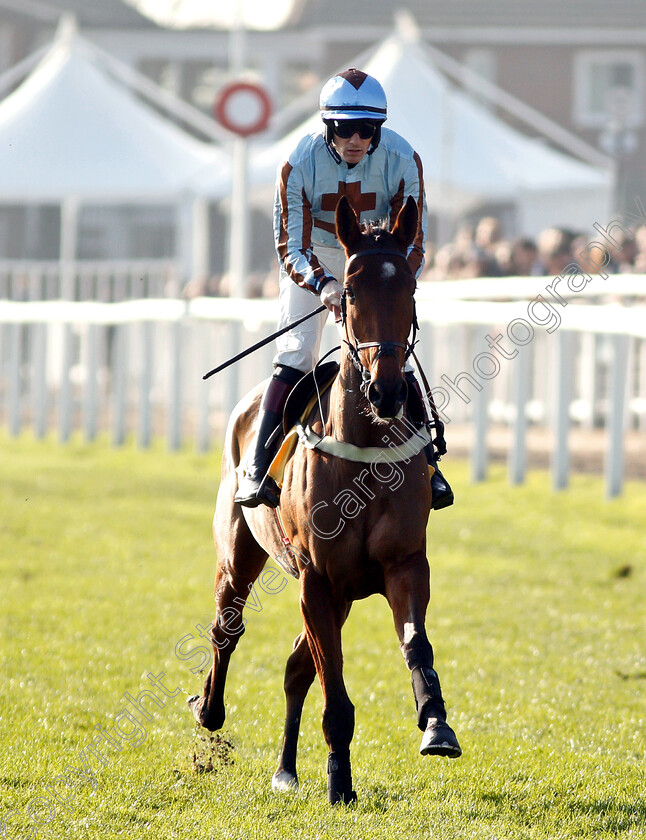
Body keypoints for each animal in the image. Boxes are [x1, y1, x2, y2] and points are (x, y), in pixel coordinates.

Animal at [190, 194, 464, 804]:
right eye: (353, 291)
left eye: (409, 288)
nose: (385, 390)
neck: (363, 447)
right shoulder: (316, 578)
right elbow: (333, 683)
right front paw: (341, 782)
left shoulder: (403, 564)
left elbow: (416, 643)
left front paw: (436, 723)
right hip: (239, 555)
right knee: (227, 629)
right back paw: (208, 710)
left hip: (342, 593)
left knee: (296, 666)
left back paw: (286, 770)